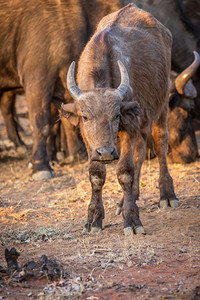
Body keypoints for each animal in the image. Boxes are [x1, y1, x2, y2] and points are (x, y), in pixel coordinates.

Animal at [62, 3, 178, 236]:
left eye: (116, 115)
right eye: (85, 117)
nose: (106, 153)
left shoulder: (129, 127)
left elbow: (125, 171)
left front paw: (132, 220)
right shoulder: (89, 140)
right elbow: (96, 174)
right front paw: (94, 218)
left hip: (161, 105)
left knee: (160, 143)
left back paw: (167, 195)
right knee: (140, 154)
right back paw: (126, 199)